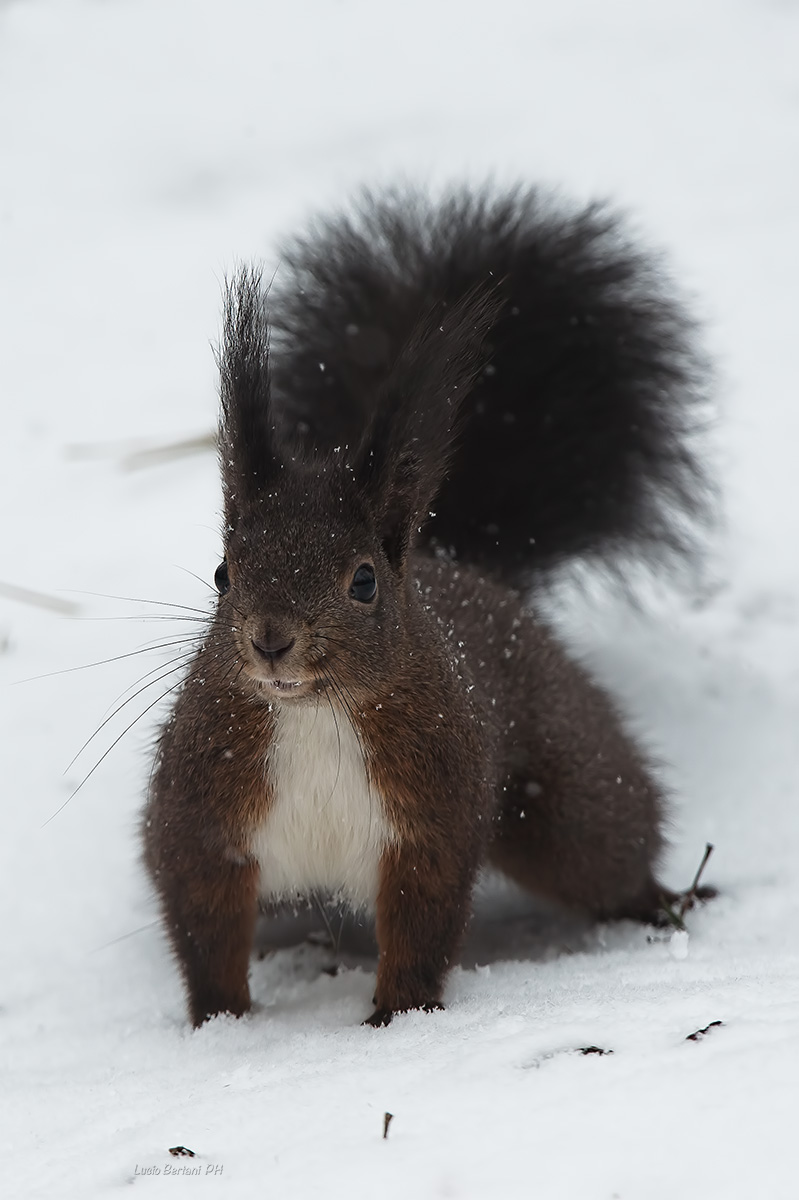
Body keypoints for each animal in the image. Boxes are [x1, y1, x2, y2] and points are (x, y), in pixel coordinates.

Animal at [143, 185, 712, 1028]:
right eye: (222, 573)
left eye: (364, 581)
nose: (271, 641)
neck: (313, 714)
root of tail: (465, 567)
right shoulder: (205, 818)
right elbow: (203, 923)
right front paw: (219, 1026)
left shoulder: (429, 820)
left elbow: (421, 927)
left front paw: (396, 1022)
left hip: (568, 789)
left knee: (606, 848)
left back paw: (666, 902)